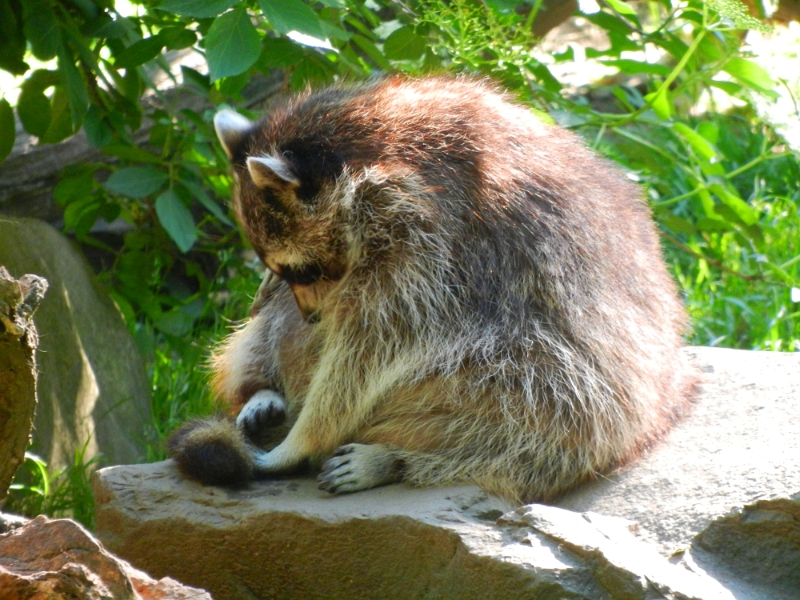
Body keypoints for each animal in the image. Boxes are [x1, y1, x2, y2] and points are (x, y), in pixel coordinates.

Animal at [169, 76, 692, 506]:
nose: (311, 314)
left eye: (306, 268)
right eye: (288, 269)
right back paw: (264, 387)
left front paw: (306, 436)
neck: (365, 137)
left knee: (539, 406)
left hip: (595, 399)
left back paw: (395, 457)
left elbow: (375, 344)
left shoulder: (429, 236)